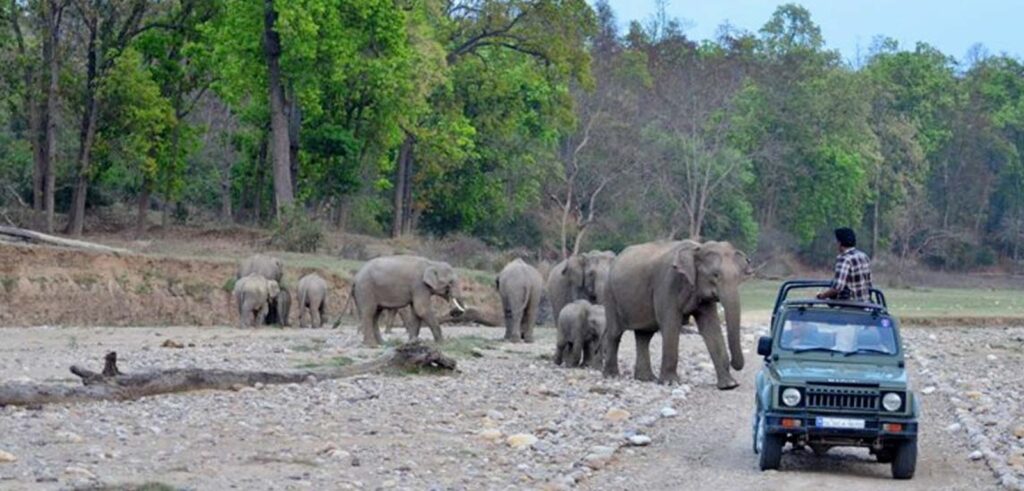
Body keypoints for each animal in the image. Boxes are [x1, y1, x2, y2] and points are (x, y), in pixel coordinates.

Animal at [602, 240, 751, 389]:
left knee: (644, 335)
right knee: (615, 333)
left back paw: (645, 378)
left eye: (739, 278)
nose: (733, 363)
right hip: (610, 294)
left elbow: (710, 327)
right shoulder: (667, 284)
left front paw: (729, 385)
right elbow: (671, 324)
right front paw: (670, 383)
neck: (696, 249)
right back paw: (611, 375)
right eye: (715, 275)